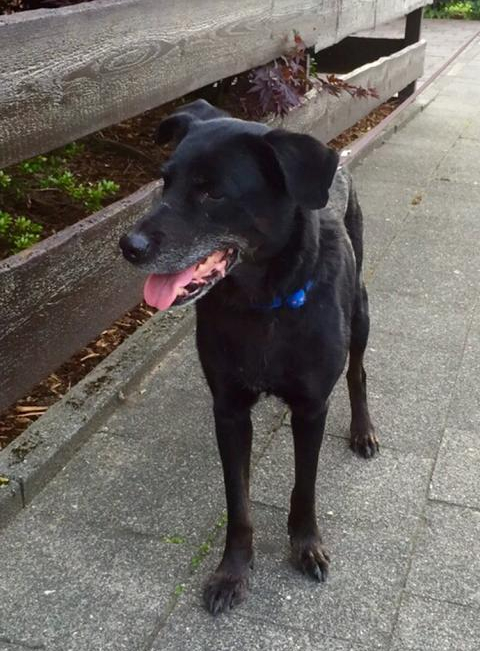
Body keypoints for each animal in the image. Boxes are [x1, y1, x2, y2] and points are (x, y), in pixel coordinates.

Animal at [119, 99, 378, 615]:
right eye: (164, 181)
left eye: (213, 193)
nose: (128, 247)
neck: (263, 303)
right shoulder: (230, 410)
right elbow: (237, 501)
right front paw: (232, 572)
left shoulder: (311, 408)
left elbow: (304, 486)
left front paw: (305, 545)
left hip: (360, 312)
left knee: (357, 372)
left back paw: (363, 430)